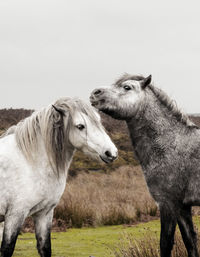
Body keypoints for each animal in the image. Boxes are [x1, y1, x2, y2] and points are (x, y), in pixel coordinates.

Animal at [0, 96, 117, 256]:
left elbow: (45, 247)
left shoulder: (44, 214)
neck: (29, 160)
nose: (111, 153)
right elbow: (7, 248)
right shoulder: (15, 215)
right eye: (80, 126)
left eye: (98, 121)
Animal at [90, 74, 200, 256]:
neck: (173, 144)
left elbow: (165, 244)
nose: (94, 93)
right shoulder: (182, 207)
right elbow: (190, 242)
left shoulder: (167, 204)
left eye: (127, 87)